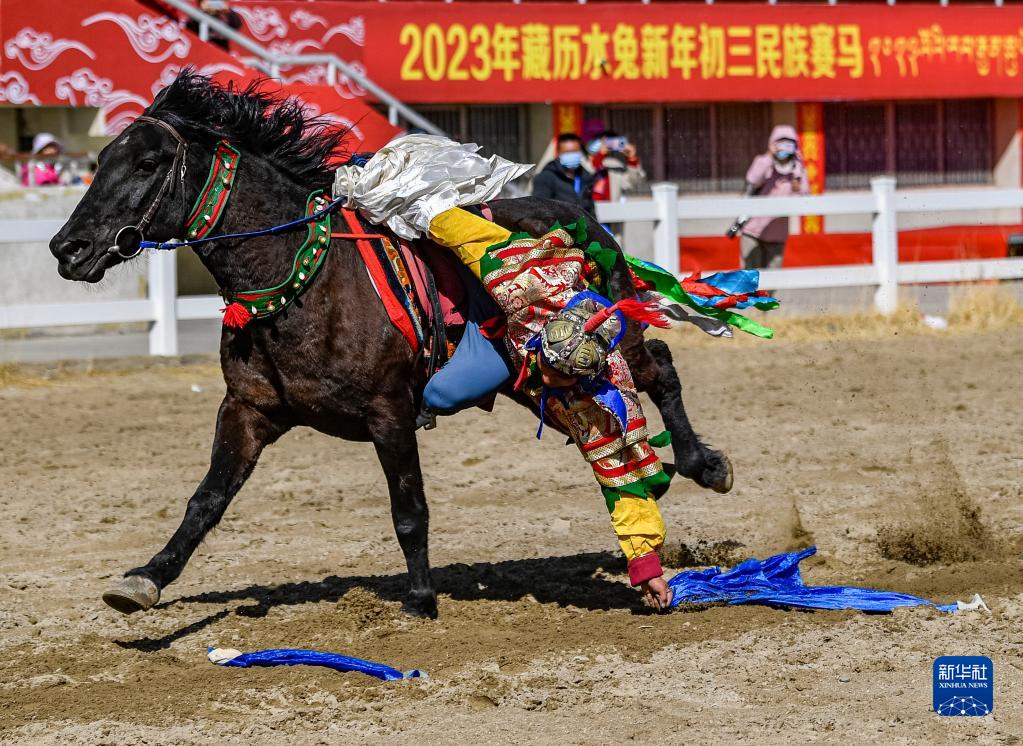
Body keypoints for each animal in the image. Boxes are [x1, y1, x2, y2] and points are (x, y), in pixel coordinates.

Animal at [49, 72, 731, 619]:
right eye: (100, 160)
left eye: (145, 164)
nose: (67, 247)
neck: (306, 280)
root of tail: (590, 220)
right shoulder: (248, 410)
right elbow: (206, 501)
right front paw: (148, 577)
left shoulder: (390, 414)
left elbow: (410, 509)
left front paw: (422, 598)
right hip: (527, 377)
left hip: (603, 343)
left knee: (660, 367)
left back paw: (703, 463)